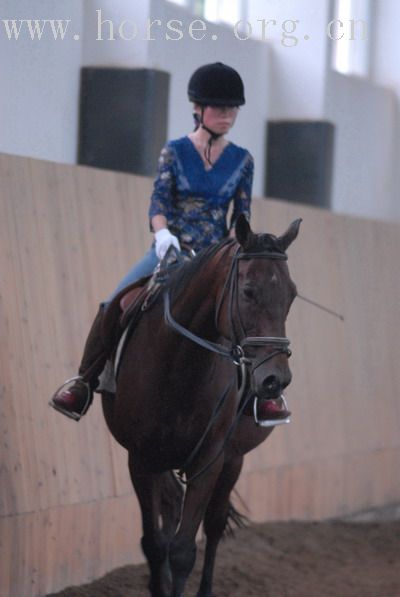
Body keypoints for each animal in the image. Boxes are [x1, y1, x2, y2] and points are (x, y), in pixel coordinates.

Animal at [101, 215, 302, 596]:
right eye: (248, 291)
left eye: (292, 295)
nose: (275, 380)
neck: (178, 365)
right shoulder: (141, 459)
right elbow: (154, 542)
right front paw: (159, 584)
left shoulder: (209, 462)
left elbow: (183, 551)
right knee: (169, 513)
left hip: (233, 459)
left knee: (214, 525)